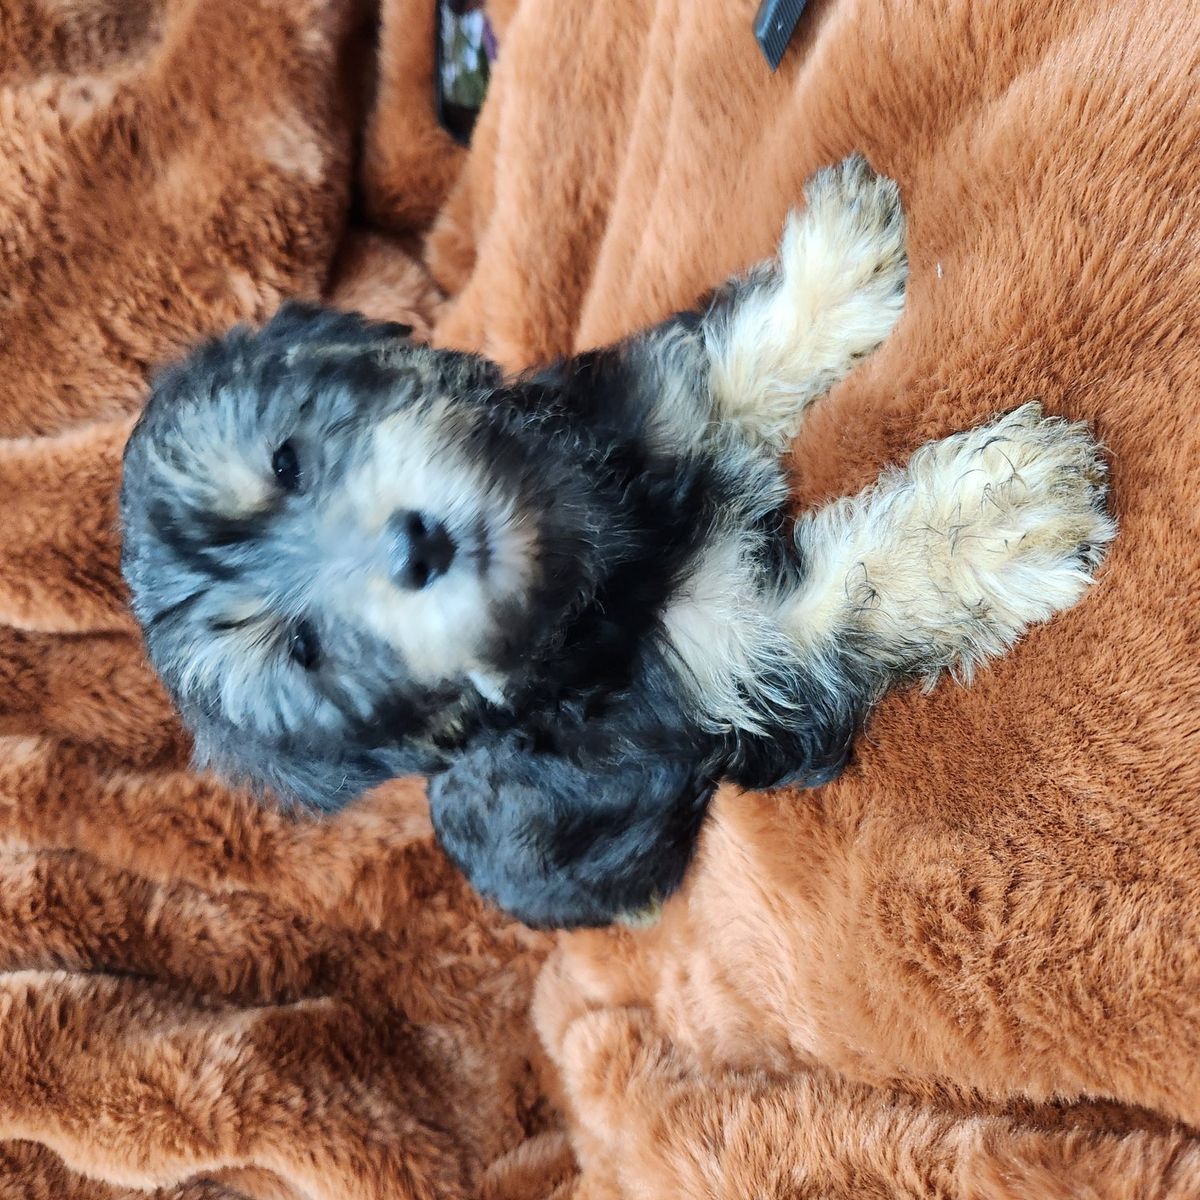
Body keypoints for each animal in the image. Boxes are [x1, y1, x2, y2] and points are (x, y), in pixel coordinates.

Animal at [119, 156, 1115, 928]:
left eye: (287, 461)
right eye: (308, 648)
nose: (414, 549)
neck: (586, 569)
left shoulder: (636, 414)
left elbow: (718, 360)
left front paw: (832, 268)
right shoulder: (736, 664)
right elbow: (851, 593)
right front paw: (1001, 516)